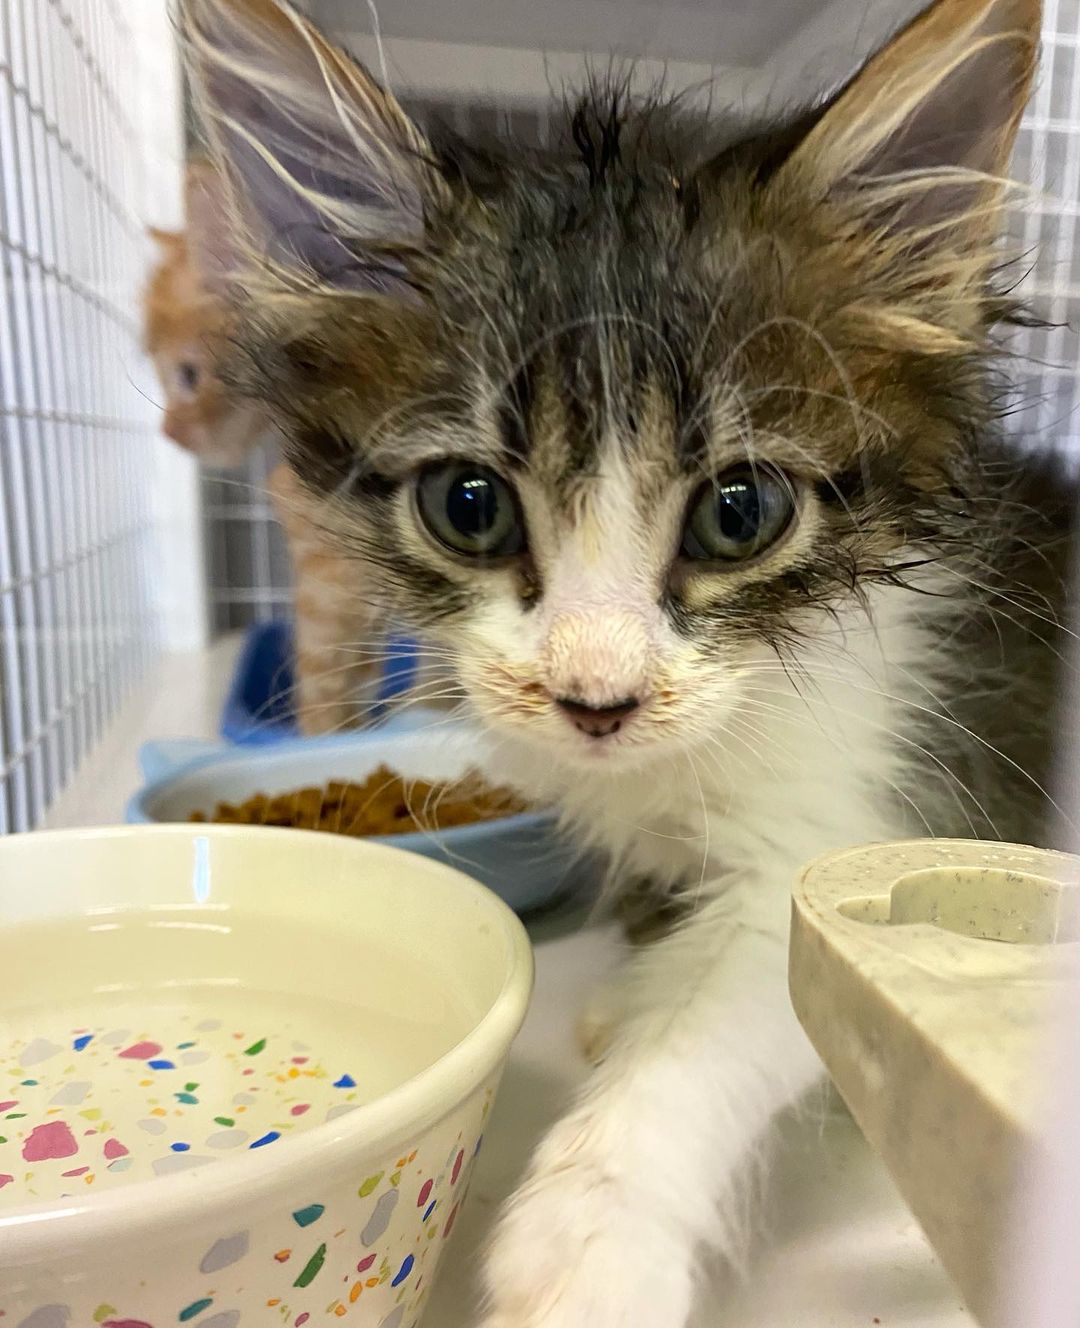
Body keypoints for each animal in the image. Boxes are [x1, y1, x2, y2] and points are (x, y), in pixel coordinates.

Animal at [180, 0, 1068, 1322]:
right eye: (469, 505)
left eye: (741, 513)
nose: (594, 699)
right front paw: (626, 999)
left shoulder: (858, 819)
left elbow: (719, 1017)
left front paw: (587, 1237)